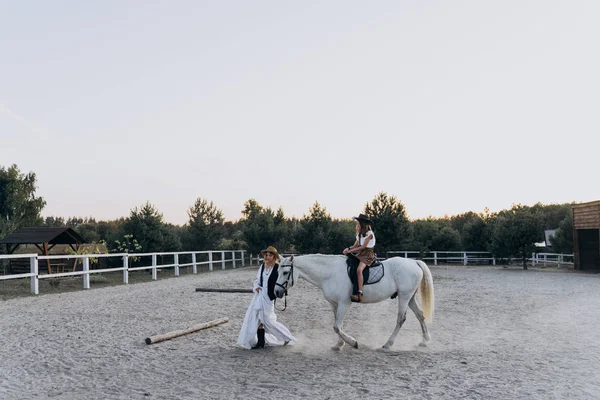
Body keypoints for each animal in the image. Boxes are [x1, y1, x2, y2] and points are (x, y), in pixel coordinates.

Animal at [274, 255, 434, 348]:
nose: (276, 292)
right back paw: (424, 340)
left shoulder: (345, 303)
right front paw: (339, 344)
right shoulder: (334, 304)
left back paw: (388, 343)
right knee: (420, 315)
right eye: (277, 272)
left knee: (401, 319)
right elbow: (338, 324)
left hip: (404, 296)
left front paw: (352, 342)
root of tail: (414, 262)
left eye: (285, 272)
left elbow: (336, 326)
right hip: (410, 297)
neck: (330, 273)